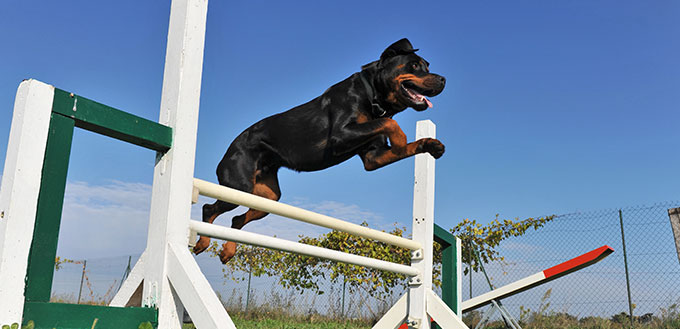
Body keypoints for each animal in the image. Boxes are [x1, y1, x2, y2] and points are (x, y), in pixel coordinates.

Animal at [193, 38, 446, 262]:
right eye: (415, 66)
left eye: (427, 66)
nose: (443, 79)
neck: (372, 94)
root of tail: (228, 152)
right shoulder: (341, 136)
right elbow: (390, 124)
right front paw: (401, 138)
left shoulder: (373, 157)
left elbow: (396, 139)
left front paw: (430, 144)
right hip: (238, 186)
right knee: (208, 209)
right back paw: (202, 242)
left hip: (267, 197)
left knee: (236, 220)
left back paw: (227, 251)